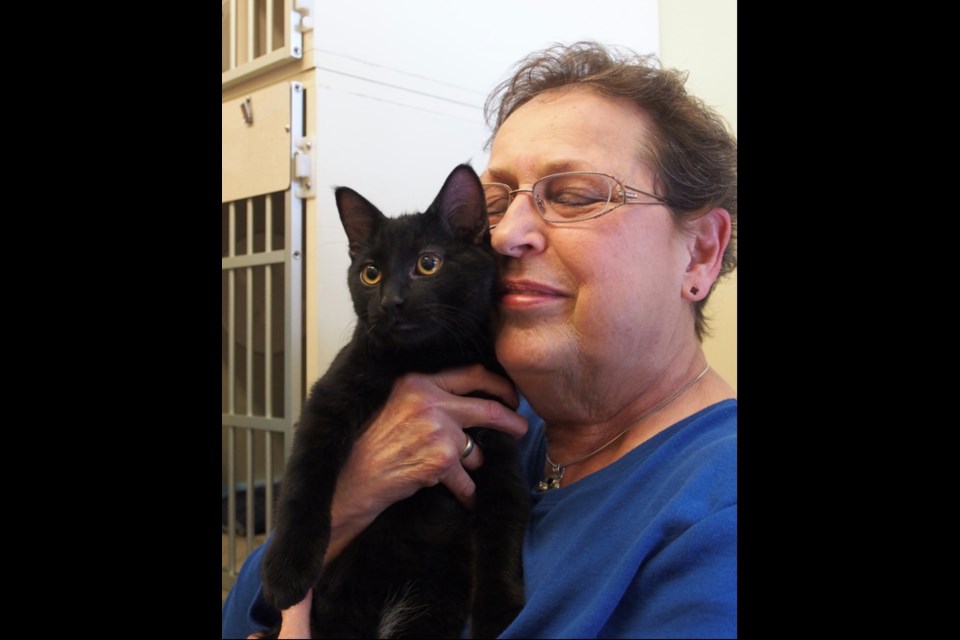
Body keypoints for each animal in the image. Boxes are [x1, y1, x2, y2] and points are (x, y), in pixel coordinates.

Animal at [258, 164, 528, 636]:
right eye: (370, 273)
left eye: (428, 263)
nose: (391, 301)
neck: (429, 360)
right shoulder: (329, 397)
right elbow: (302, 481)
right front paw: (285, 572)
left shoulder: (499, 438)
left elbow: (503, 525)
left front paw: (499, 614)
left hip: (431, 603)